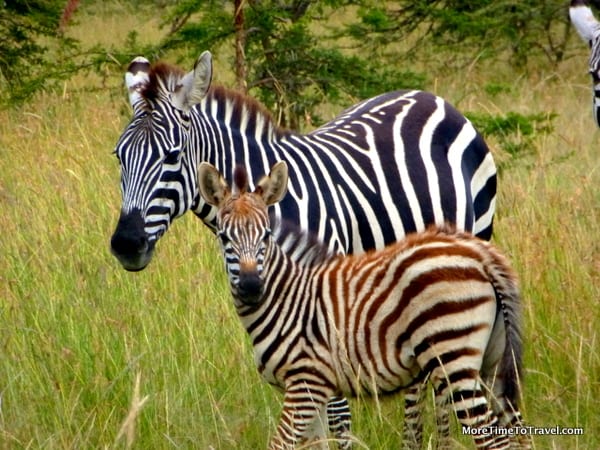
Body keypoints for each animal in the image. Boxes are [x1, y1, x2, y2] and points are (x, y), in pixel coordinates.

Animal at [109, 51, 496, 446]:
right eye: (118, 156)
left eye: (172, 156)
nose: (126, 244)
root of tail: (429, 97)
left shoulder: (329, 307)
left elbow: (336, 415)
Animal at [198, 163, 528, 450]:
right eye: (224, 237)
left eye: (266, 235)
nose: (252, 287)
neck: (287, 299)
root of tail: (481, 254)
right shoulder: (313, 392)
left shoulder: (306, 383)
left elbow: (280, 444)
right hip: (492, 361)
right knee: (515, 432)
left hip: (452, 357)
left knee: (492, 439)